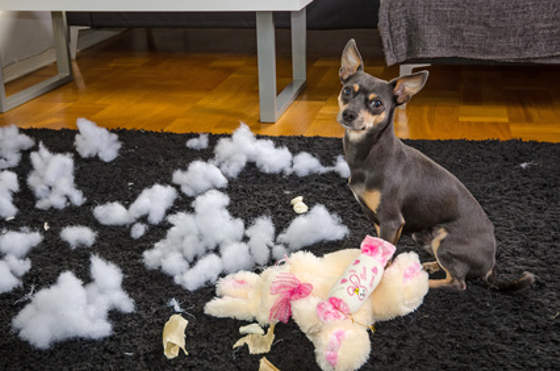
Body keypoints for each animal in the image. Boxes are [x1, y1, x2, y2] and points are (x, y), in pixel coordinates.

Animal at [336, 40, 532, 290]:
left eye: (377, 103)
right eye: (347, 91)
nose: (348, 114)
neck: (370, 152)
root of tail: (491, 268)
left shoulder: (391, 221)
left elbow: (385, 257)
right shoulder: (379, 222)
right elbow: (383, 251)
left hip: (444, 239)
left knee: (458, 283)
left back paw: (426, 283)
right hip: (425, 236)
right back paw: (429, 265)